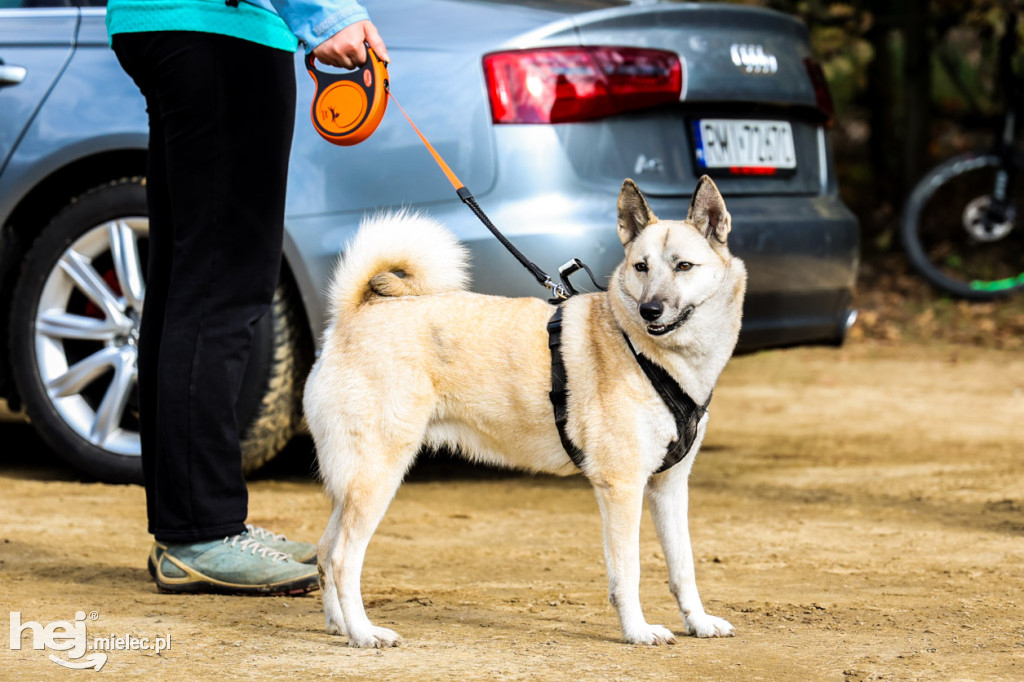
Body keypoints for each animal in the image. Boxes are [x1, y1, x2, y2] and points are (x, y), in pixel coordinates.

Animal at [303, 174, 745, 643]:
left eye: (684, 267)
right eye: (641, 267)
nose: (650, 310)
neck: (646, 352)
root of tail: (354, 313)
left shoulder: (670, 487)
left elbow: (684, 566)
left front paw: (699, 622)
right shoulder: (622, 487)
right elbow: (629, 571)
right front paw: (637, 630)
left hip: (354, 482)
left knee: (324, 550)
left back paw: (339, 626)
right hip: (377, 475)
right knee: (342, 558)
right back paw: (364, 632)